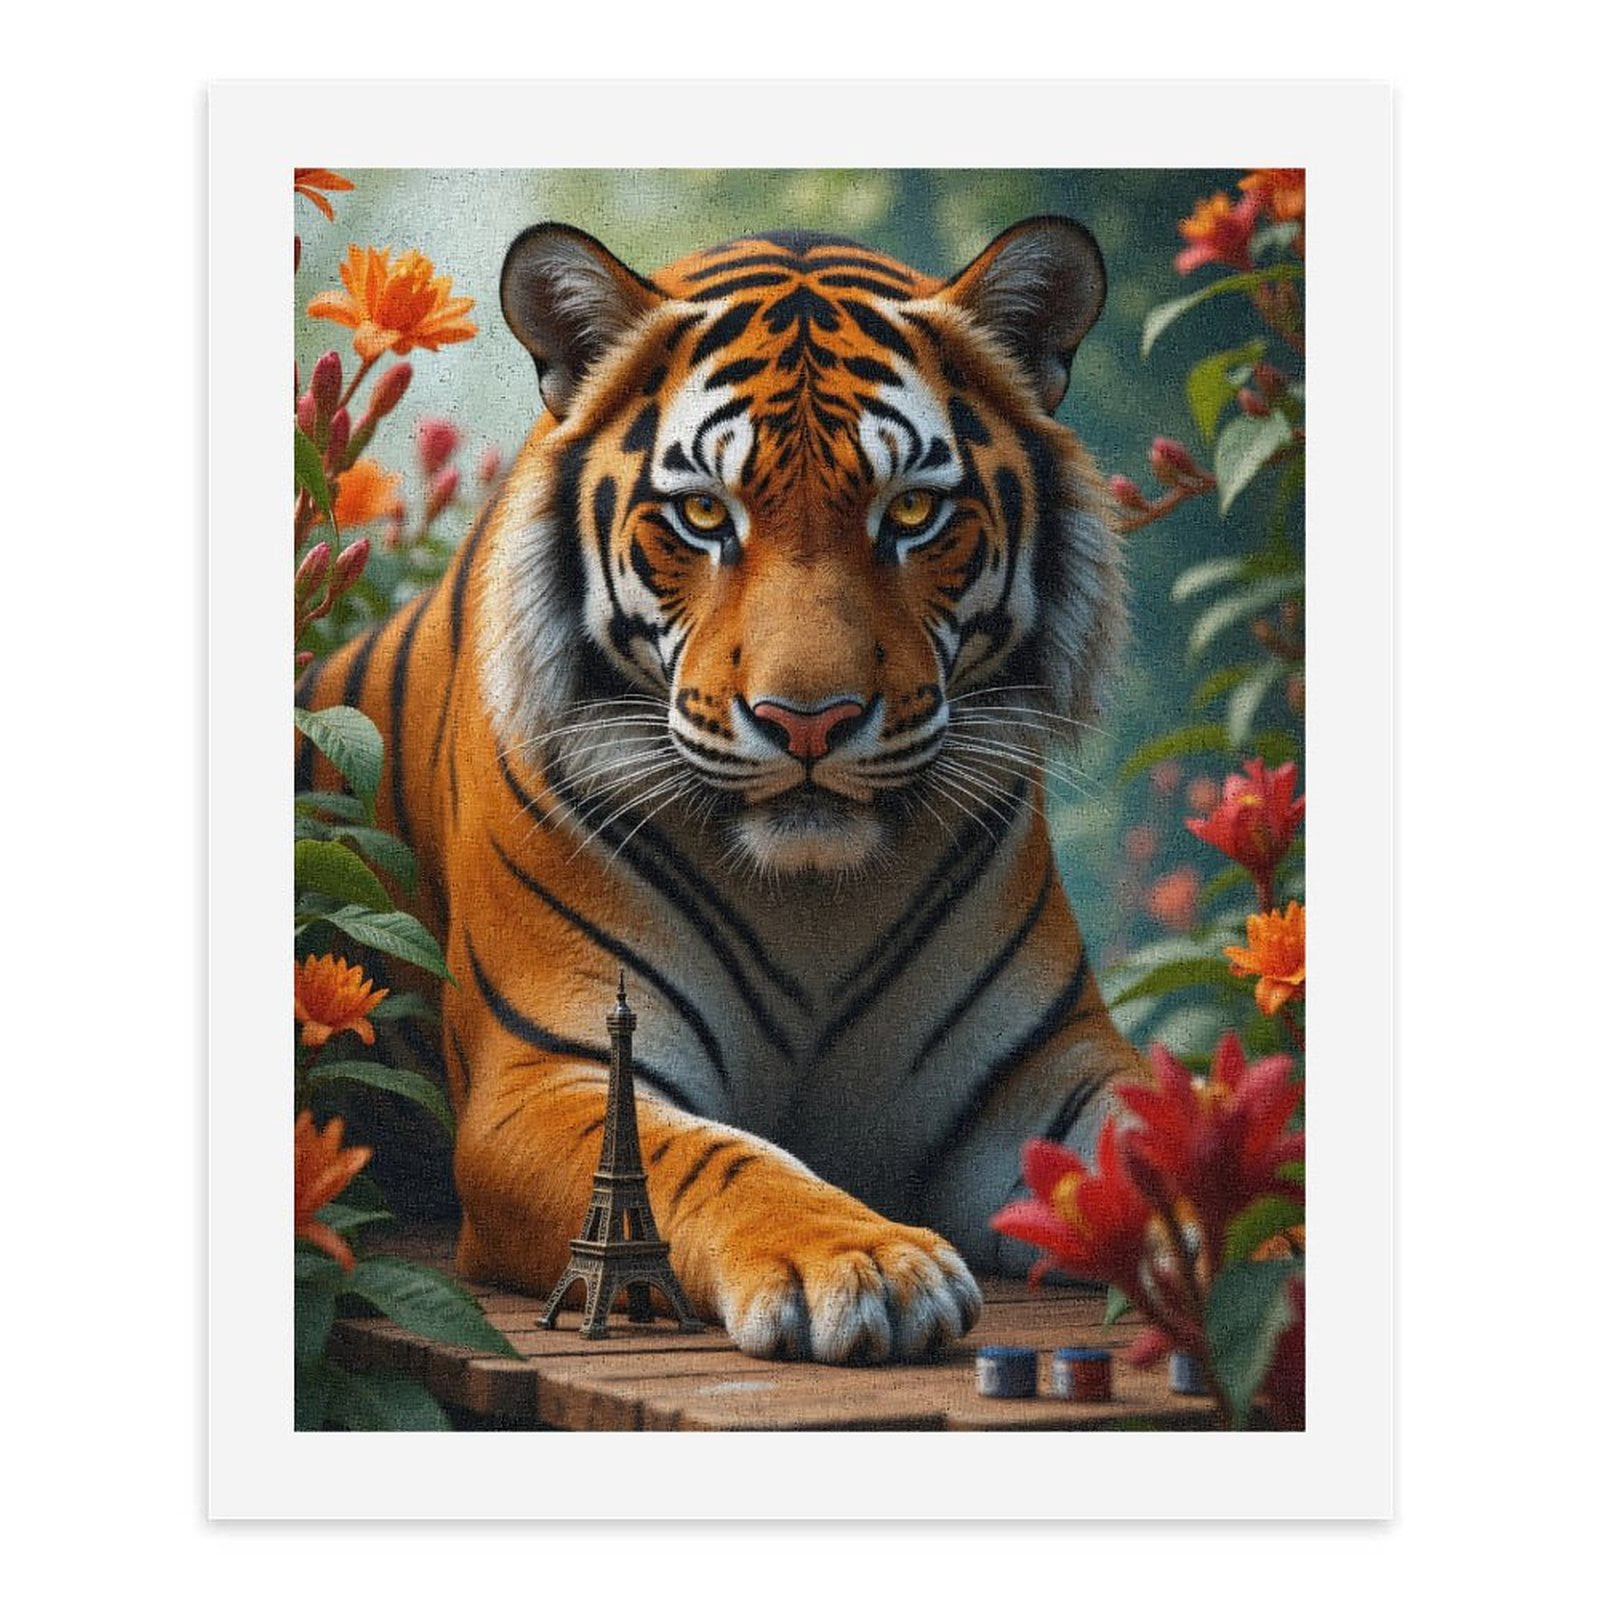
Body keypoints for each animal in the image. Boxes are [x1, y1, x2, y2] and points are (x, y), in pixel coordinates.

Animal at [295, 216, 1146, 1365]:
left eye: (914, 512)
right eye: (703, 513)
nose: (809, 721)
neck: (815, 903)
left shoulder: (1040, 1080)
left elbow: (1170, 1123)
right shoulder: (550, 1073)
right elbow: (713, 1157)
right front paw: (862, 1262)